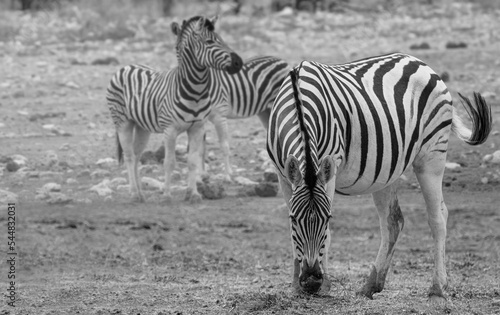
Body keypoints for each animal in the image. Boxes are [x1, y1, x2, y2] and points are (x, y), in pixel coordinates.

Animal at [106, 14, 243, 204]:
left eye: (222, 39)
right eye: (209, 41)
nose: (239, 63)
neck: (195, 91)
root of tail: (126, 66)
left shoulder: (197, 128)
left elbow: (192, 161)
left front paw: (193, 194)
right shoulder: (170, 130)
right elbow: (169, 162)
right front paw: (167, 195)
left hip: (141, 127)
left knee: (136, 155)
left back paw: (141, 193)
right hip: (122, 122)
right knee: (129, 156)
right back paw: (134, 194)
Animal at [268, 53, 490, 302]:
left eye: (328, 218)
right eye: (294, 220)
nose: (311, 280)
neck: (299, 105)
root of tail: (420, 62)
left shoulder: (330, 168)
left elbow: (329, 234)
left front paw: (324, 285)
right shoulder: (282, 174)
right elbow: (292, 233)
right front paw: (296, 286)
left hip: (432, 154)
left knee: (438, 217)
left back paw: (438, 288)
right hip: (387, 170)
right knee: (393, 221)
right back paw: (371, 285)